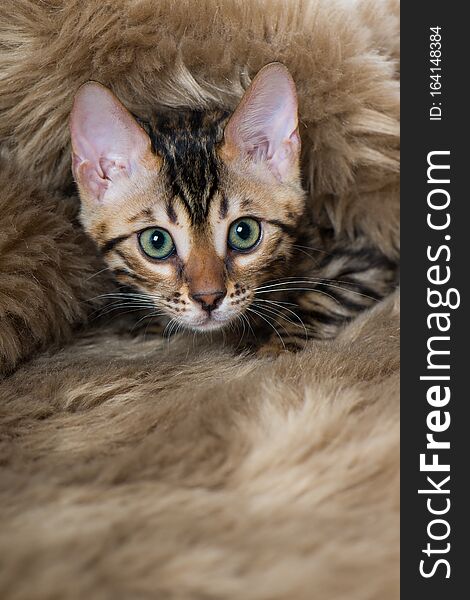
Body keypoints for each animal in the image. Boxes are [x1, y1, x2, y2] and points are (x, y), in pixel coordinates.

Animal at [68, 63, 394, 352]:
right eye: (156, 241)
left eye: (244, 232)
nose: (209, 298)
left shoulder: (369, 262)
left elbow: (319, 299)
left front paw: (274, 349)